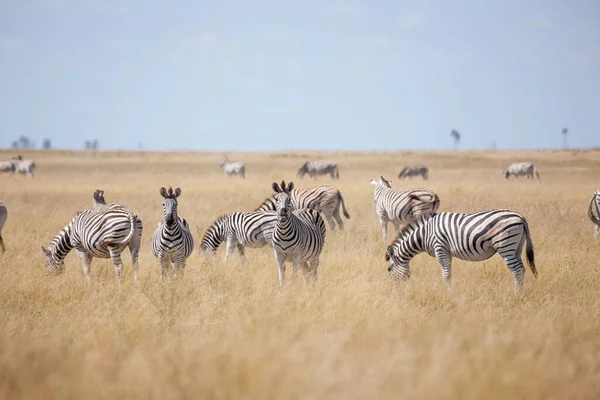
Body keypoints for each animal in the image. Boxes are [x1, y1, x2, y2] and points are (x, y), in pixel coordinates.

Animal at [386, 211, 536, 292]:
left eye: (389, 269)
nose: (391, 289)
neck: (425, 234)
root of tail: (520, 217)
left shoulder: (440, 248)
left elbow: (445, 274)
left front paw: (449, 294)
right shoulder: (447, 251)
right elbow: (449, 273)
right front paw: (451, 291)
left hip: (506, 246)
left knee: (517, 271)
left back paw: (516, 295)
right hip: (516, 248)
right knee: (522, 270)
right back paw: (520, 293)